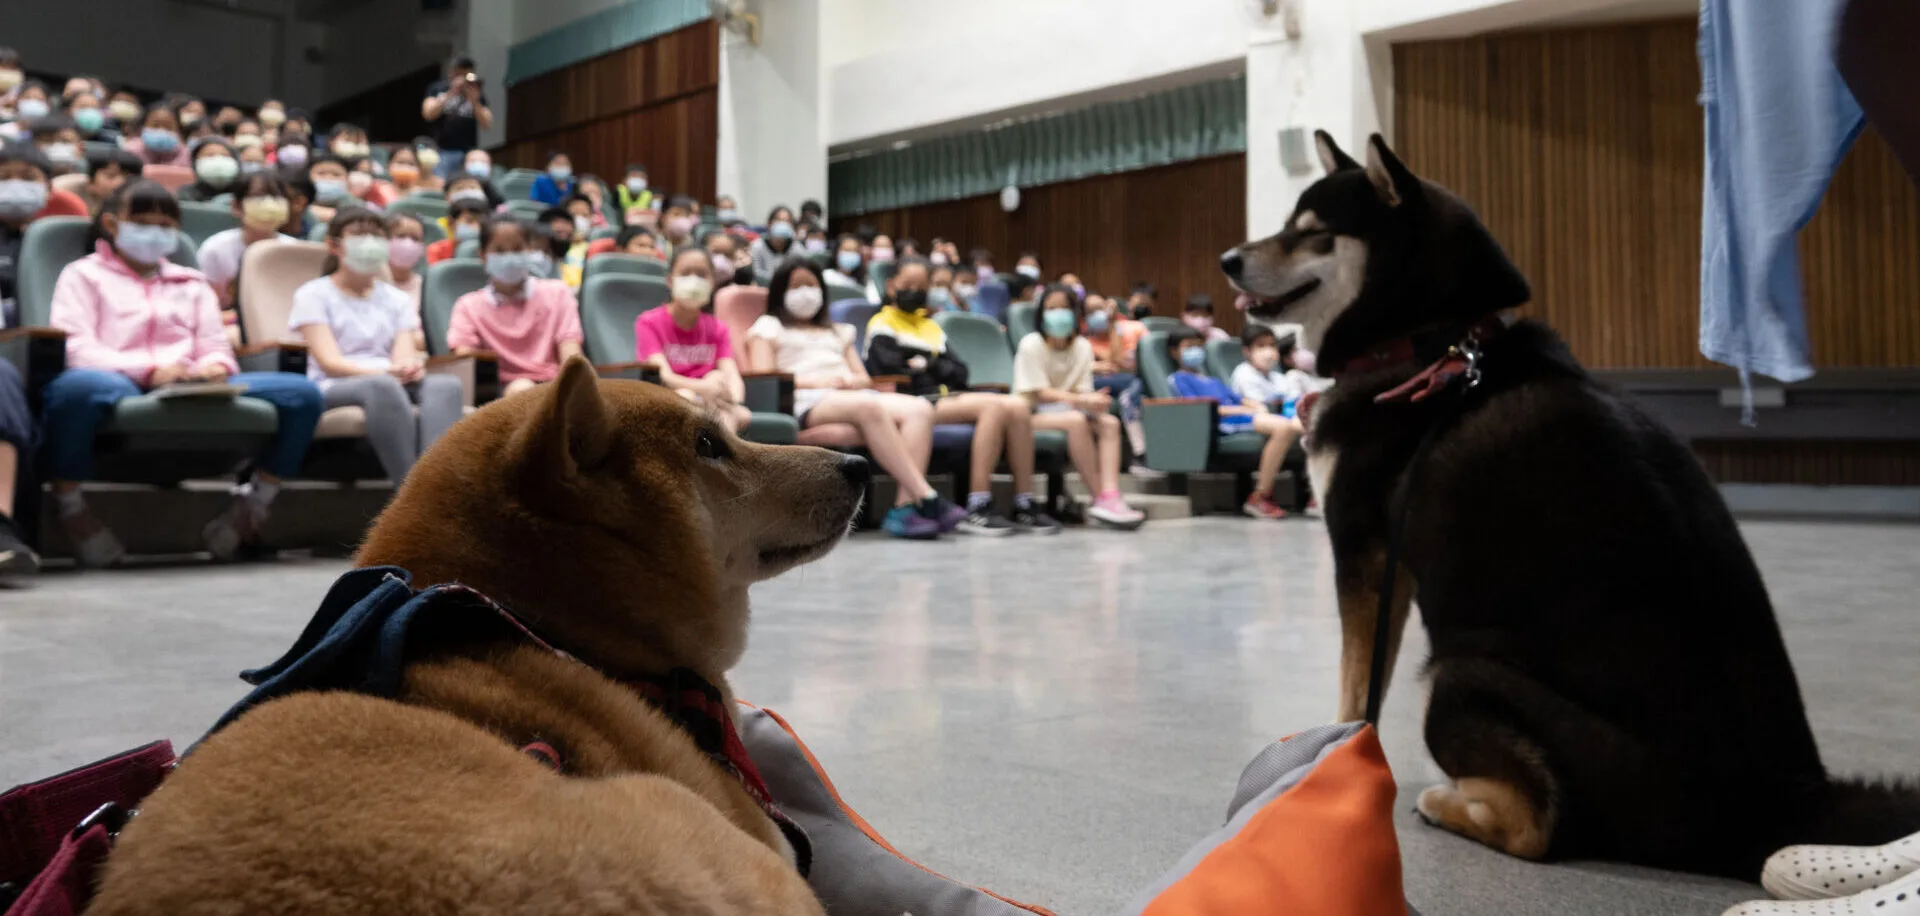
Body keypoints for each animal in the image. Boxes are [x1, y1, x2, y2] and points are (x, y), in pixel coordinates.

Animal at [1221, 132, 1912, 875]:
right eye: (1287, 224)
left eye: (1312, 234)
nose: (1228, 259)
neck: (1427, 349)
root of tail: (1782, 805)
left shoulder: (1364, 550)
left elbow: (1356, 692)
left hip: (1458, 673)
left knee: (1536, 830)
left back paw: (1449, 802)